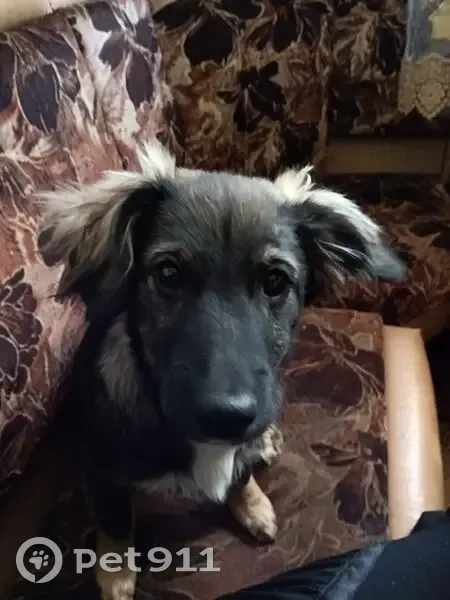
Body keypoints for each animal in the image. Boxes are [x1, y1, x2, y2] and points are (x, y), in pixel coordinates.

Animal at [38, 140, 405, 600]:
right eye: (168, 273)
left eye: (275, 281)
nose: (227, 416)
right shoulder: (101, 472)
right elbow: (116, 524)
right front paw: (116, 573)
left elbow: (241, 474)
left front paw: (253, 505)